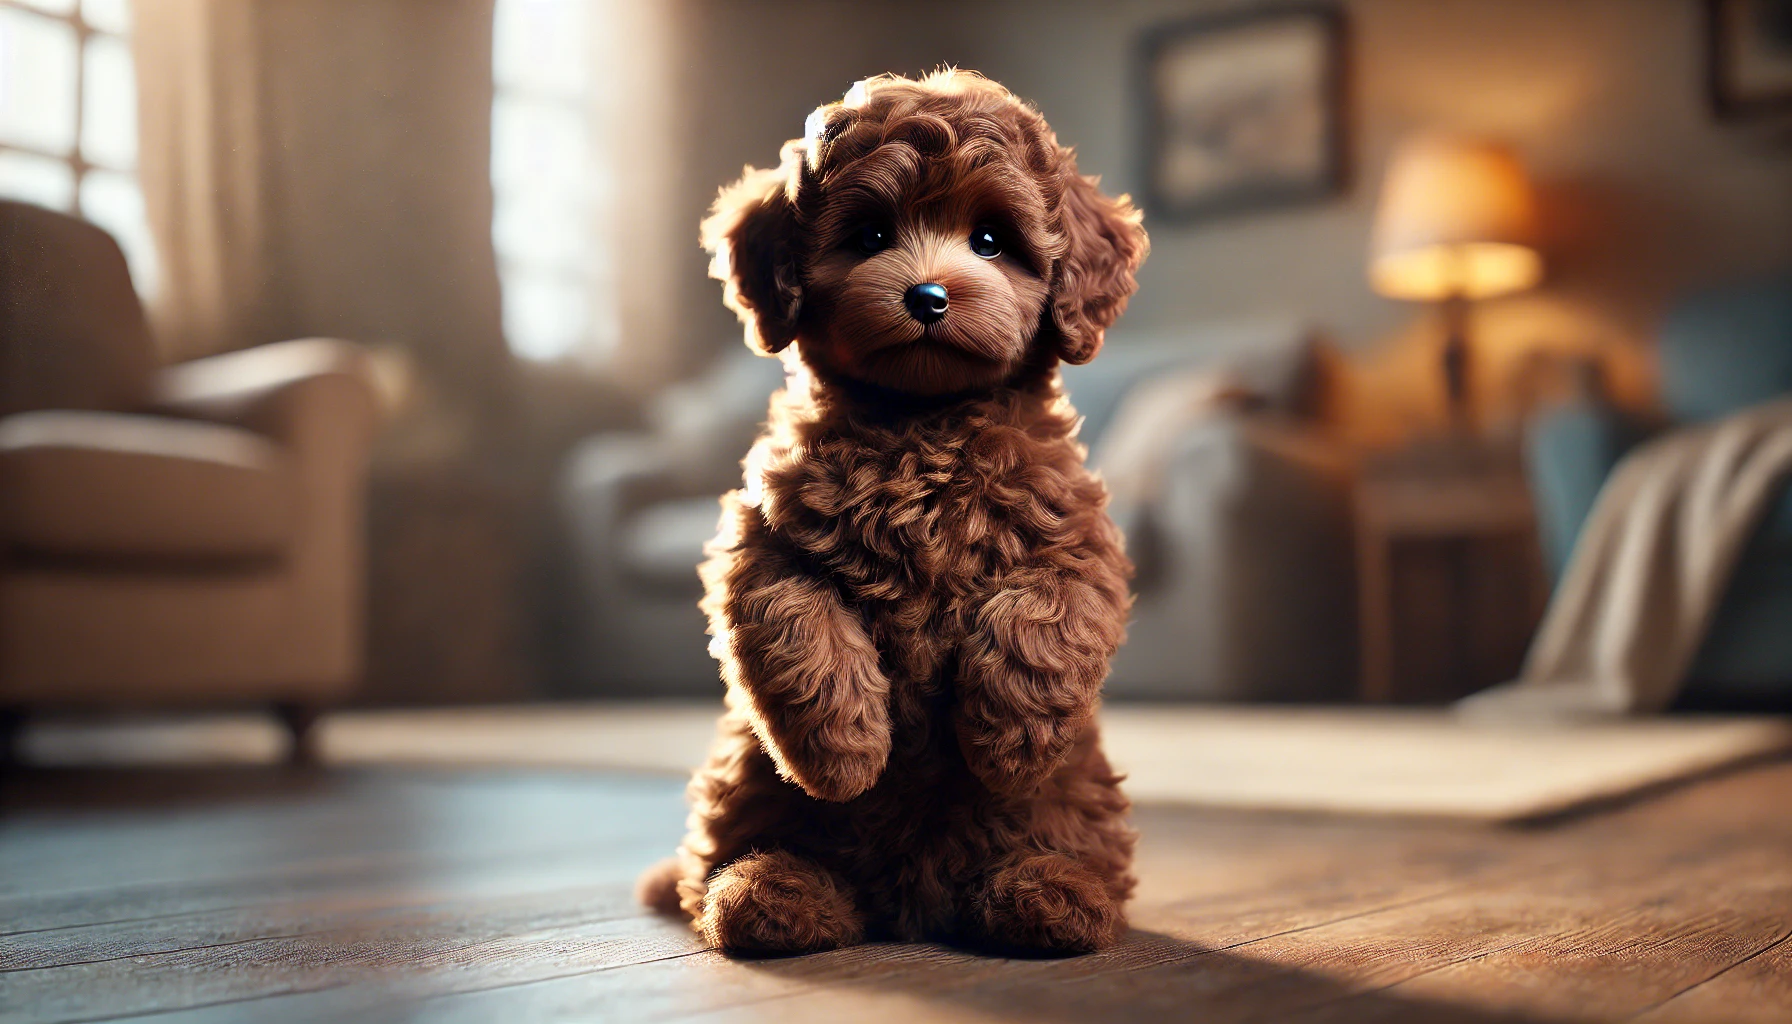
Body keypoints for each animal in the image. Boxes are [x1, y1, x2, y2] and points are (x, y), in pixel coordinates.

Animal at [645, 72, 1146, 961]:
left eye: (991, 239)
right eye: (871, 233)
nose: (928, 296)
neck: (924, 422)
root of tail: (910, 904)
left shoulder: (1076, 541)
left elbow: (1040, 618)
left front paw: (1009, 743)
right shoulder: (761, 542)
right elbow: (796, 621)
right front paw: (844, 752)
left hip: (1076, 794)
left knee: (1062, 850)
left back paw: (1050, 895)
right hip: (745, 778)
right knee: (740, 860)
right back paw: (772, 893)